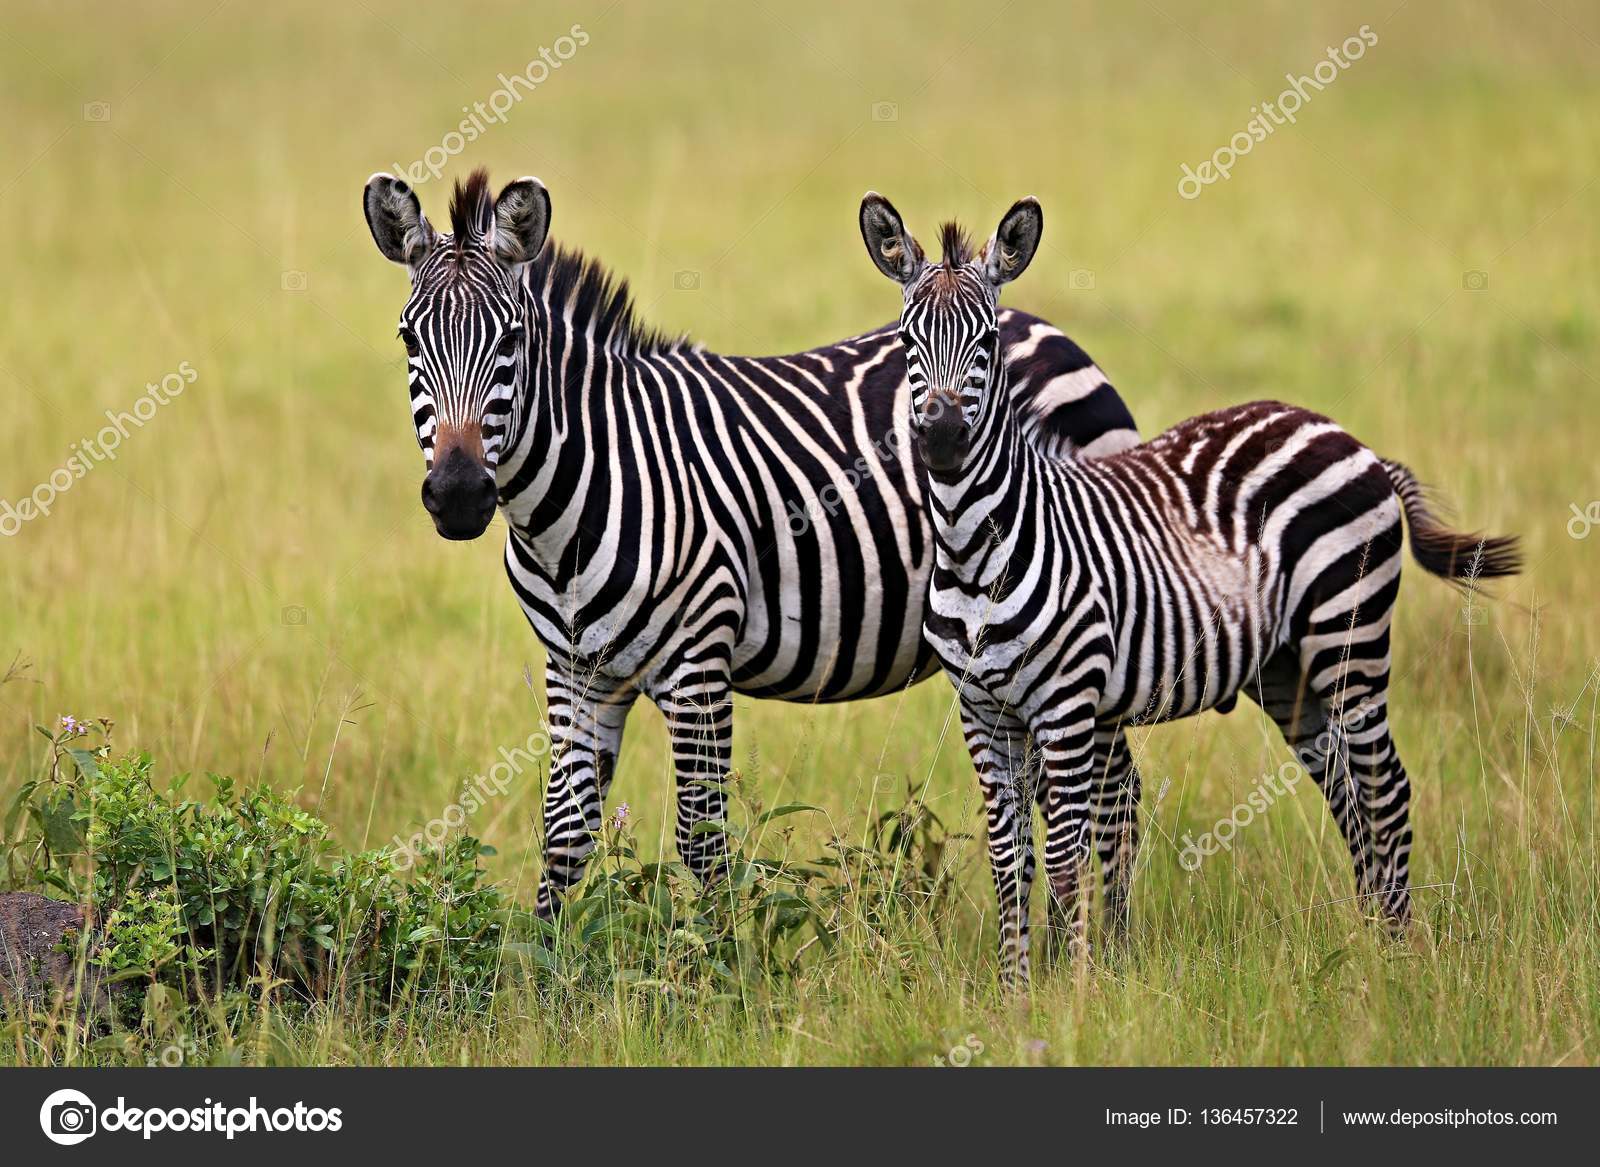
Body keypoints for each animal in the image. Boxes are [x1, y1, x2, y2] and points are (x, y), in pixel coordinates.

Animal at [361, 169, 1140, 918]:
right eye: (408, 340)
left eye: (511, 341)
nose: (459, 494)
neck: (573, 507)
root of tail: (1043, 325)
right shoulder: (577, 670)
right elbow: (564, 836)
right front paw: (542, 962)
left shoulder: (698, 663)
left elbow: (702, 842)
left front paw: (713, 959)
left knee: (1114, 800)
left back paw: (1110, 947)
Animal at [858, 191, 1520, 984]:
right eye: (906, 342)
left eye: (988, 340)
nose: (943, 438)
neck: (974, 551)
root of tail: (1349, 438)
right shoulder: (983, 712)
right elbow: (1007, 861)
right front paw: (1016, 987)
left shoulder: (1067, 706)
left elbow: (1065, 857)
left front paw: (1073, 985)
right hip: (1288, 668)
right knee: (1347, 791)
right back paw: (1369, 938)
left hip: (1349, 635)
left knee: (1385, 786)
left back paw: (1397, 951)